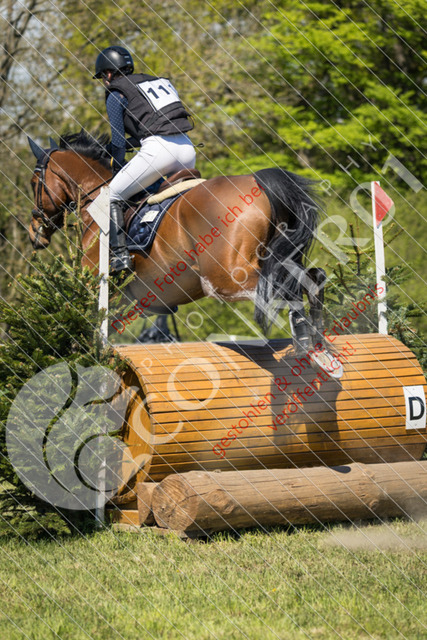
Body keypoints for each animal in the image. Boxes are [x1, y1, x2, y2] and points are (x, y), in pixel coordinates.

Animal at [27, 130, 334, 369]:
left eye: (33, 183)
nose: (34, 232)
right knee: (314, 277)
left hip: (226, 278)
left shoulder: (101, 286)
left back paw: (306, 346)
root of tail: (257, 181)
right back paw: (320, 347)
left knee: (286, 284)